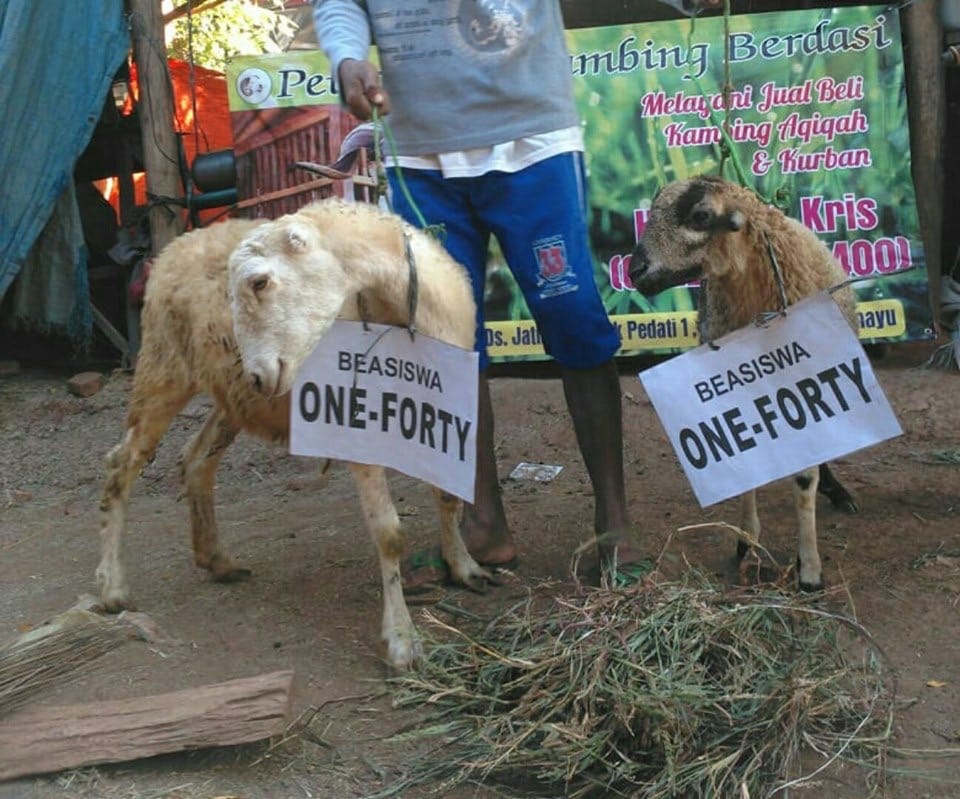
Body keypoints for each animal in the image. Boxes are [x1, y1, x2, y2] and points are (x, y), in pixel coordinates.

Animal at [96, 199, 493, 670]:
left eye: (259, 281)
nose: (258, 373)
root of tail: (177, 245)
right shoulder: (356, 426)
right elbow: (389, 534)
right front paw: (401, 640)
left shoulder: (446, 413)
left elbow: (448, 497)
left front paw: (464, 567)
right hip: (164, 368)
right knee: (122, 465)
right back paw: (113, 587)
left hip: (234, 396)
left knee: (195, 458)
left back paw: (216, 559)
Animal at [629, 175, 858, 591]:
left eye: (701, 216)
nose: (634, 271)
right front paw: (746, 540)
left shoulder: (805, 384)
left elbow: (805, 478)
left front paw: (809, 569)